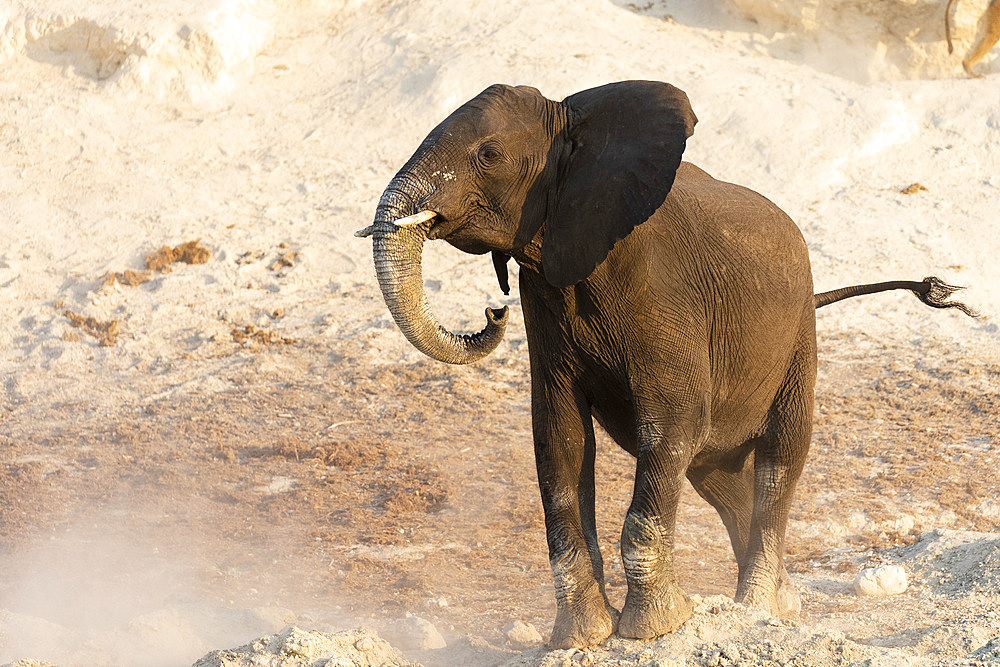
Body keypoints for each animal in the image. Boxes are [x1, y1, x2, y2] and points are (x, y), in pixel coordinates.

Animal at [358, 81, 976, 648]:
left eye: (488, 155)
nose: (493, 311)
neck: (577, 122)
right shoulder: (548, 299)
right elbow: (560, 437)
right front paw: (581, 637)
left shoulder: (660, 291)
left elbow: (670, 426)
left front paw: (656, 627)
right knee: (719, 479)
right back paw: (778, 605)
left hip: (799, 335)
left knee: (779, 459)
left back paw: (760, 609)